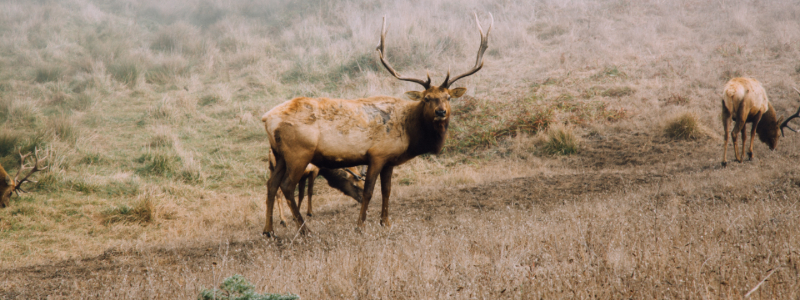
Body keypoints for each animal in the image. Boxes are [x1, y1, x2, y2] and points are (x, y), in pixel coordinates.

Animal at [262, 12, 490, 237]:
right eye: (426, 98)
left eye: (448, 97)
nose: (441, 112)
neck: (409, 133)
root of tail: (267, 118)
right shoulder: (377, 154)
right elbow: (369, 191)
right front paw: (361, 225)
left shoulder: (390, 159)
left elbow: (387, 191)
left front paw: (386, 223)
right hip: (299, 152)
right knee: (286, 186)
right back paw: (304, 230)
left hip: (280, 154)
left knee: (271, 184)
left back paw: (269, 230)